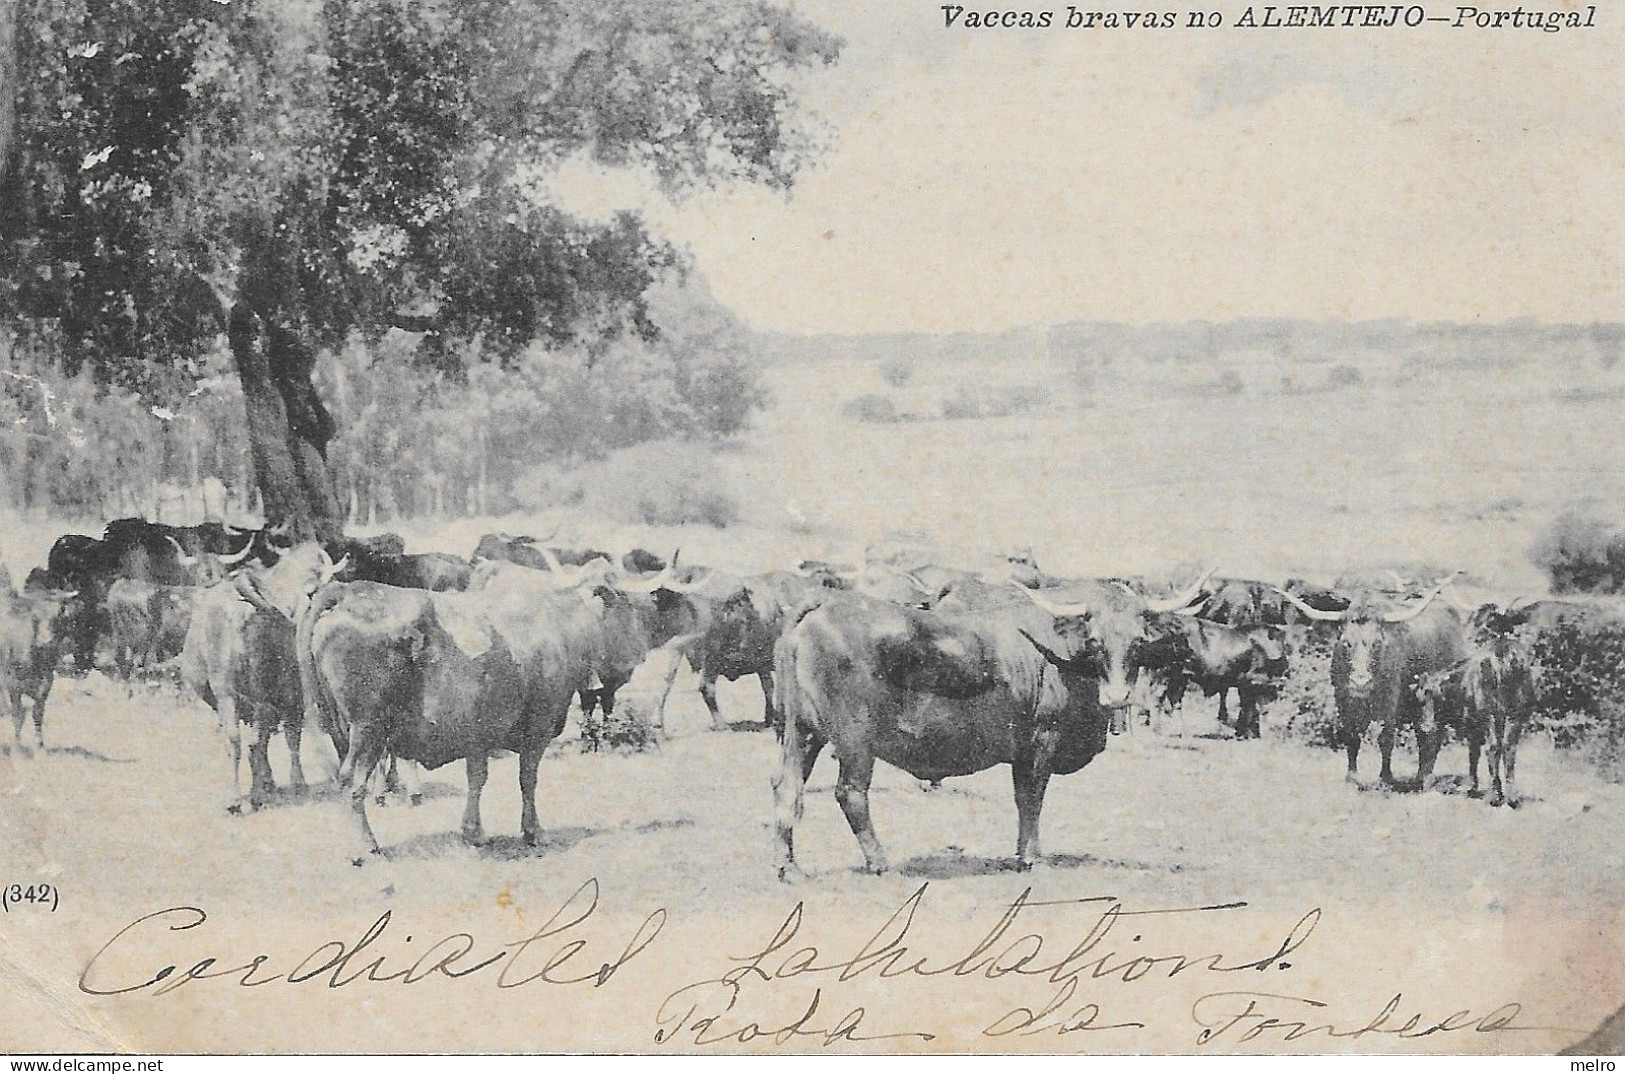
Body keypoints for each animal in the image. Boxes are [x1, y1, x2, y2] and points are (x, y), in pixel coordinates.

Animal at [763, 575, 1209, 877]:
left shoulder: (1022, 752)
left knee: (787, 788)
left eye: (1137, 641)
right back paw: (879, 862)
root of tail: (823, 602)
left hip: (802, 733)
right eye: (1095, 640)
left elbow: (1022, 799)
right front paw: (1032, 858)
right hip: (854, 739)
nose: (1117, 697)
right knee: (850, 793)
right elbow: (1032, 799)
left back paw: (789, 868)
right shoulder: (1041, 741)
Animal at [1280, 578, 1475, 786]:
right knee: (1423, 732)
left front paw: (1385, 777)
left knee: (1434, 732)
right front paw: (1352, 777)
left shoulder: (1388, 702)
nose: (1360, 682)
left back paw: (1425, 776)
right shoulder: (1343, 699)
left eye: (1376, 643)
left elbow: (1385, 737)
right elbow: (1351, 735)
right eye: (1346, 642)